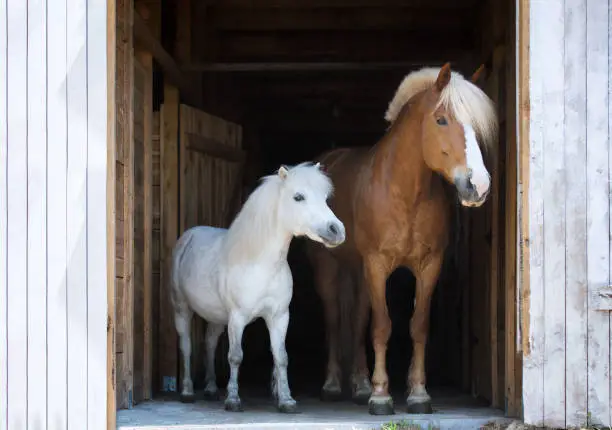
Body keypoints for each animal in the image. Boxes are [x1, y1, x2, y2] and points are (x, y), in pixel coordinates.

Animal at [170, 161, 346, 414]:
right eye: (298, 197)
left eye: (324, 197)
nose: (336, 230)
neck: (260, 263)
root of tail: (189, 235)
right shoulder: (237, 317)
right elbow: (235, 356)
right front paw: (233, 400)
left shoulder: (279, 316)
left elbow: (281, 357)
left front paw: (287, 400)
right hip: (182, 309)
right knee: (186, 346)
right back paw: (187, 392)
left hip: (216, 317)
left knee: (210, 344)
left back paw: (212, 389)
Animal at [304, 62, 498, 414]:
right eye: (441, 119)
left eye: (476, 126)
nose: (478, 186)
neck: (405, 193)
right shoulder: (377, 264)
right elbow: (382, 326)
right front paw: (382, 396)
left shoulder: (429, 265)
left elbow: (417, 326)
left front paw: (417, 393)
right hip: (329, 269)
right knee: (334, 319)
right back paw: (333, 385)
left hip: (358, 271)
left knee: (357, 319)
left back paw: (360, 385)